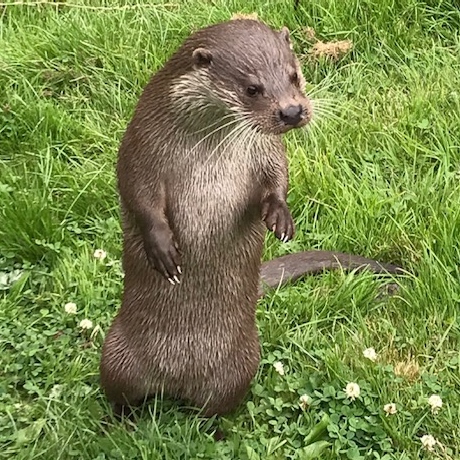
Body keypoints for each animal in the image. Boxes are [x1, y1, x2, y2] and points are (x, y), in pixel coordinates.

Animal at [100, 18, 402, 418]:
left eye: (294, 75)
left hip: (240, 366)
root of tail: (175, 381)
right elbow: (140, 196)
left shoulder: (266, 151)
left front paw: (279, 217)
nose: (292, 112)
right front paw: (162, 248)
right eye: (252, 88)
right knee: (122, 399)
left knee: (215, 409)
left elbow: (278, 179)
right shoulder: (140, 149)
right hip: (115, 357)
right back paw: (122, 422)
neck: (204, 150)